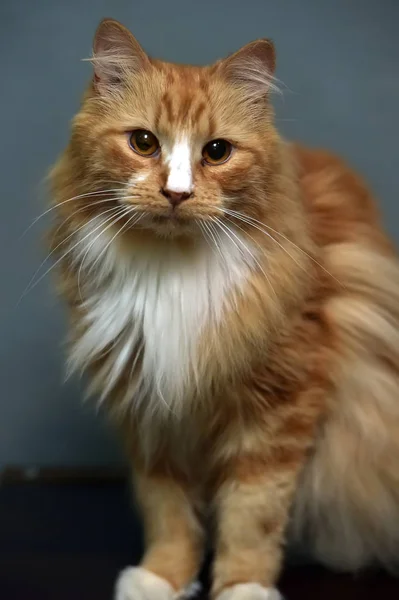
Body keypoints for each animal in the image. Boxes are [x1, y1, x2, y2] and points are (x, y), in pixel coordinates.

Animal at [49, 17, 399, 600]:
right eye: (143, 142)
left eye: (216, 152)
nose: (176, 193)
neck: (171, 275)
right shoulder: (153, 404)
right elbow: (168, 512)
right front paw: (163, 578)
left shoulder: (278, 408)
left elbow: (252, 515)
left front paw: (243, 586)